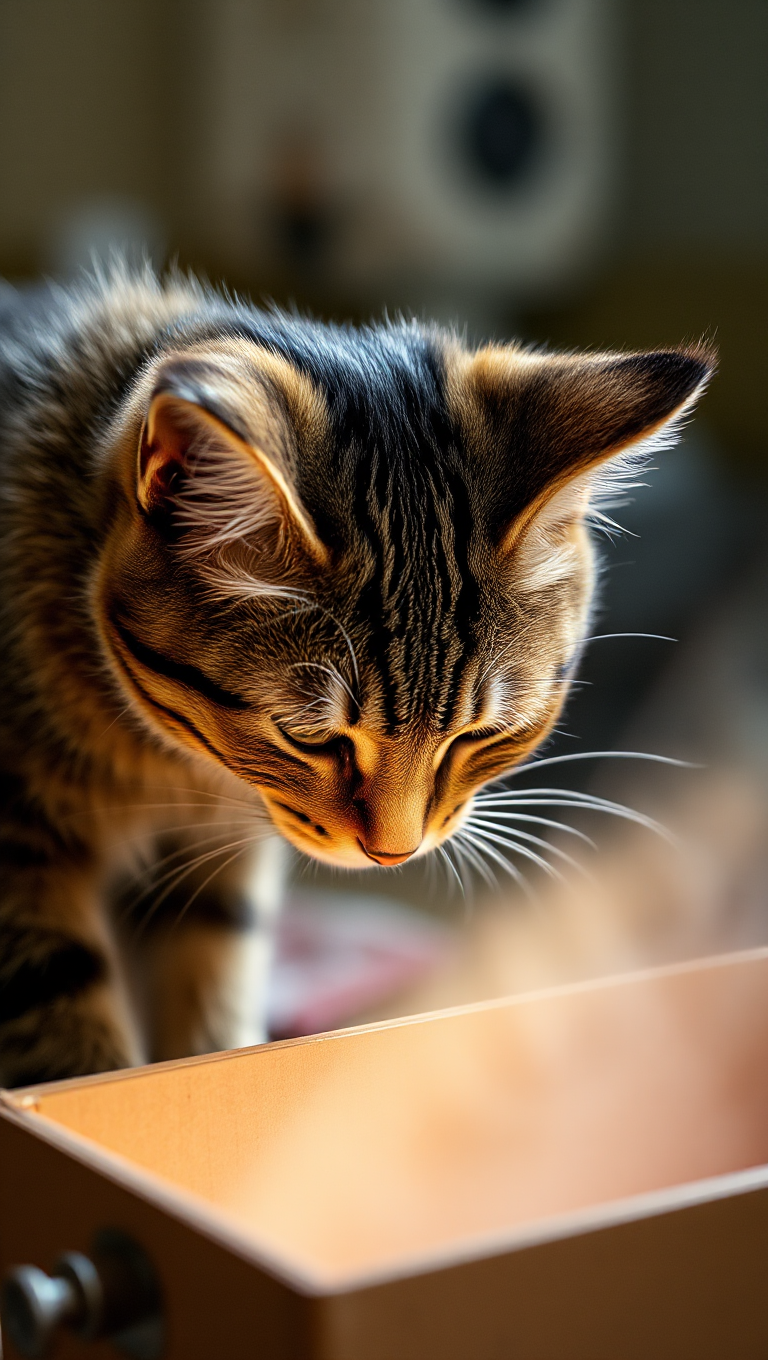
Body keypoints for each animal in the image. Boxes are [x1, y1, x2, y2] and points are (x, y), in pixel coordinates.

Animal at [0, 270, 712, 1088]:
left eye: (482, 735)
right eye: (310, 737)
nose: (393, 855)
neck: (169, 767)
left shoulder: (216, 866)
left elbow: (208, 1008)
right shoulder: (20, 857)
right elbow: (70, 1040)